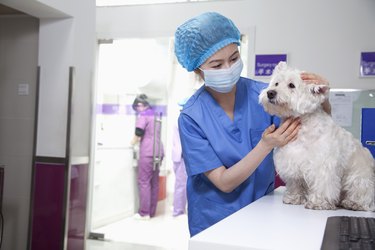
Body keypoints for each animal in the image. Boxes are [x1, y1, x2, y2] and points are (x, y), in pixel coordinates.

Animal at [260, 61, 374, 211]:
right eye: (276, 83)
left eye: (291, 85)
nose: (270, 93)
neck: (302, 125)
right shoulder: (291, 162)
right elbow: (295, 182)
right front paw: (293, 198)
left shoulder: (323, 165)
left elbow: (323, 185)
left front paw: (318, 203)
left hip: (359, 177)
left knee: (363, 194)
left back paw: (353, 203)